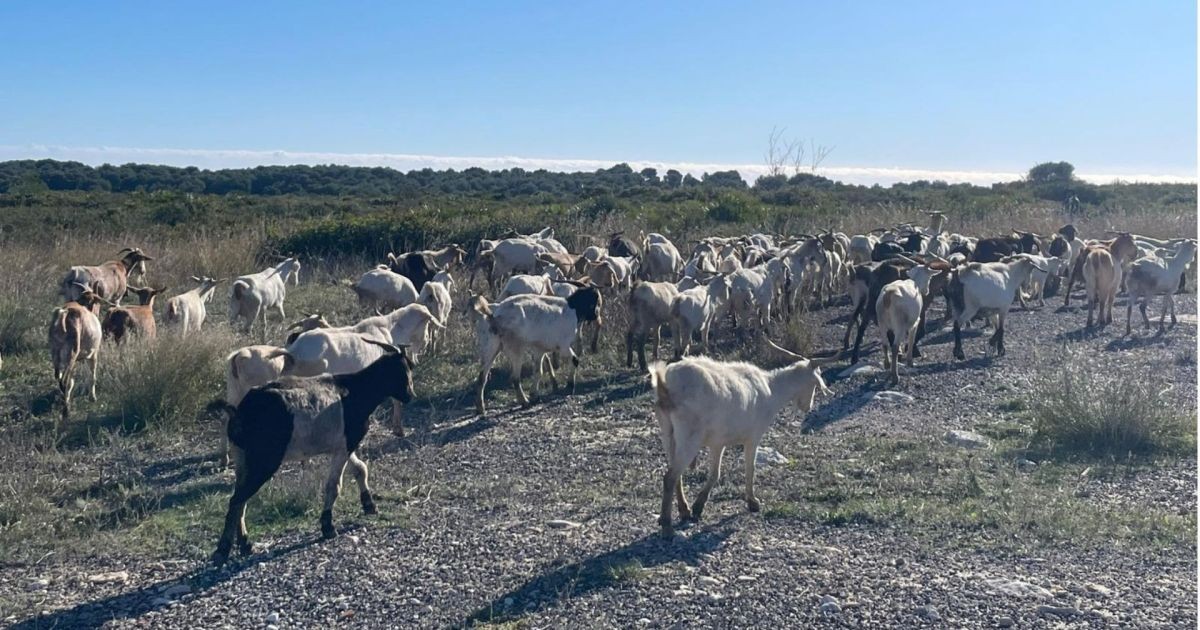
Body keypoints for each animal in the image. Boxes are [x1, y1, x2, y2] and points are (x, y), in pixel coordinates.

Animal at [210, 341, 414, 564]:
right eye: (402, 371)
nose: (410, 396)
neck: (354, 390)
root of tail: (241, 412)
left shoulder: (343, 444)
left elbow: (360, 469)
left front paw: (369, 505)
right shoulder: (344, 446)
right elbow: (334, 486)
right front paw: (328, 527)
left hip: (242, 457)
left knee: (240, 498)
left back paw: (245, 543)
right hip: (264, 460)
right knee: (237, 499)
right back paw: (222, 549)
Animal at [648, 341, 840, 537]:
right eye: (815, 384)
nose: (807, 407)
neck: (772, 389)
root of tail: (667, 387)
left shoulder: (718, 443)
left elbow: (715, 473)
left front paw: (698, 507)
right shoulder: (753, 437)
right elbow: (750, 468)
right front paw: (752, 502)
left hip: (669, 434)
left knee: (676, 474)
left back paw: (683, 511)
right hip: (689, 437)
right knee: (670, 477)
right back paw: (667, 526)